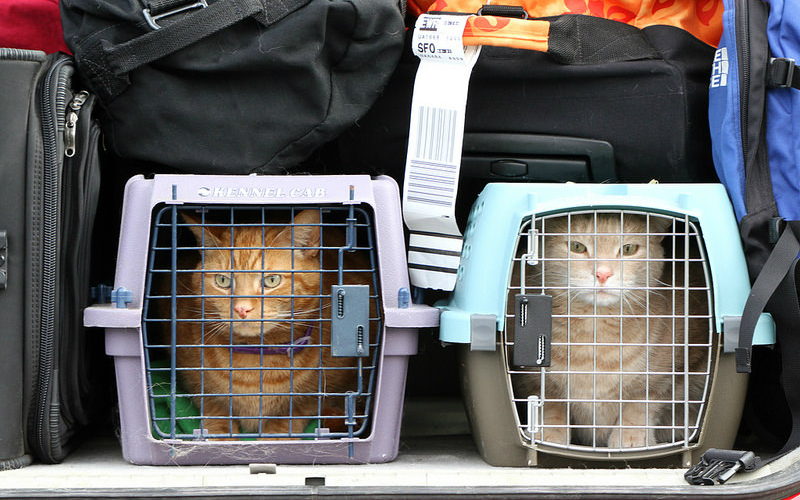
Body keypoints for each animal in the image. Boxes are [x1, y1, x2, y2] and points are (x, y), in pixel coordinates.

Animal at [162, 209, 378, 436]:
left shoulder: (323, 390)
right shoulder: (193, 378)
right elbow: (214, 408)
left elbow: (293, 413)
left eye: (271, 280)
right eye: (223, 281)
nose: (242, 308)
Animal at [510, 214, 708, 450]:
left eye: (628, 249)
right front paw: (548, 433)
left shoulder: (675, 373)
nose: (603, 274)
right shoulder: (531, 378)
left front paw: (630, 439)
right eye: (577, 247)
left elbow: (640, 404)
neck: (595, 336)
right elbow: (549, 403)